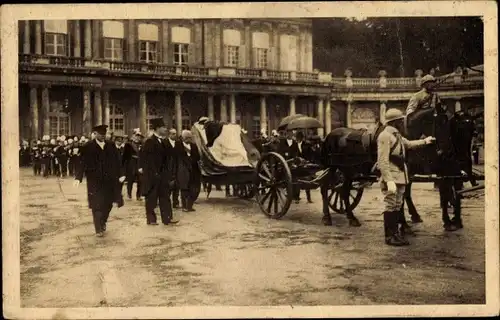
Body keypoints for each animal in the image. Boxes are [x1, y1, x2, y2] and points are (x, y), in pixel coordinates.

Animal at [320, 106, 476, 231]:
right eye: (440, 124)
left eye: (473, 130)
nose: (447, 153)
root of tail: (330, 135)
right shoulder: (436, 172)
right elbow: (436, 195)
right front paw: (405, 224)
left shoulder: (442, 173)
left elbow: (449, 194)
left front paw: (453, 220)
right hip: (337, 168)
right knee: (328, 187)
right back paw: (329, 217)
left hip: (348, 171)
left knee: (342, 190)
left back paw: (350, 217)